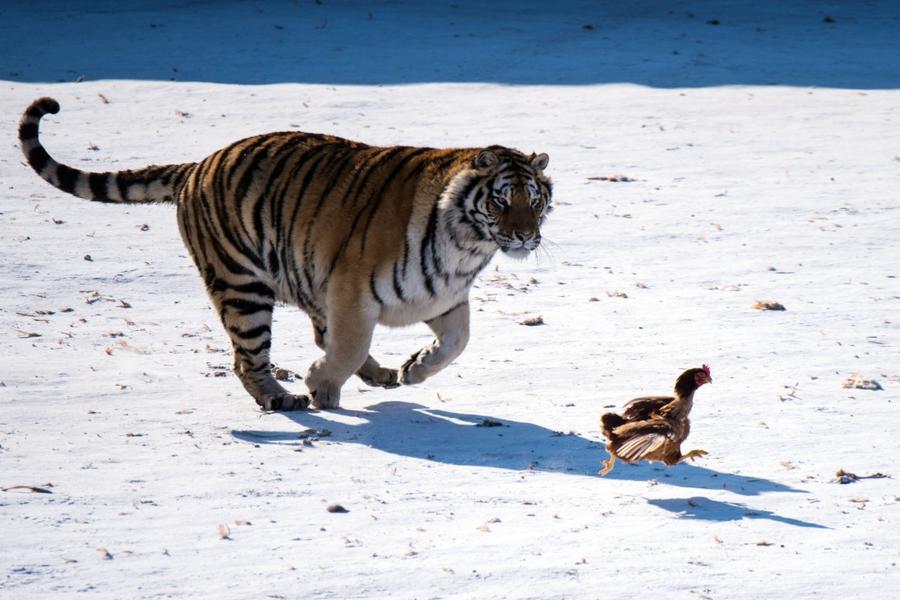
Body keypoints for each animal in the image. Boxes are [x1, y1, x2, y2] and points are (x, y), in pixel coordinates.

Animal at [19, 97, 556, 412]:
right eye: (501, 200)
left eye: (534, 200)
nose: (525, 236)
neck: (467, 246)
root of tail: (197, 165)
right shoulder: (352, 290)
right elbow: (347, 345)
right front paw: (321, 384)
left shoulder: (440, 295)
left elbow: (457, 342)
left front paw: (413, 368)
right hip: (242, 286)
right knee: (249, 358)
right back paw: (284, 399)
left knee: (315, 335)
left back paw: (380, 375)